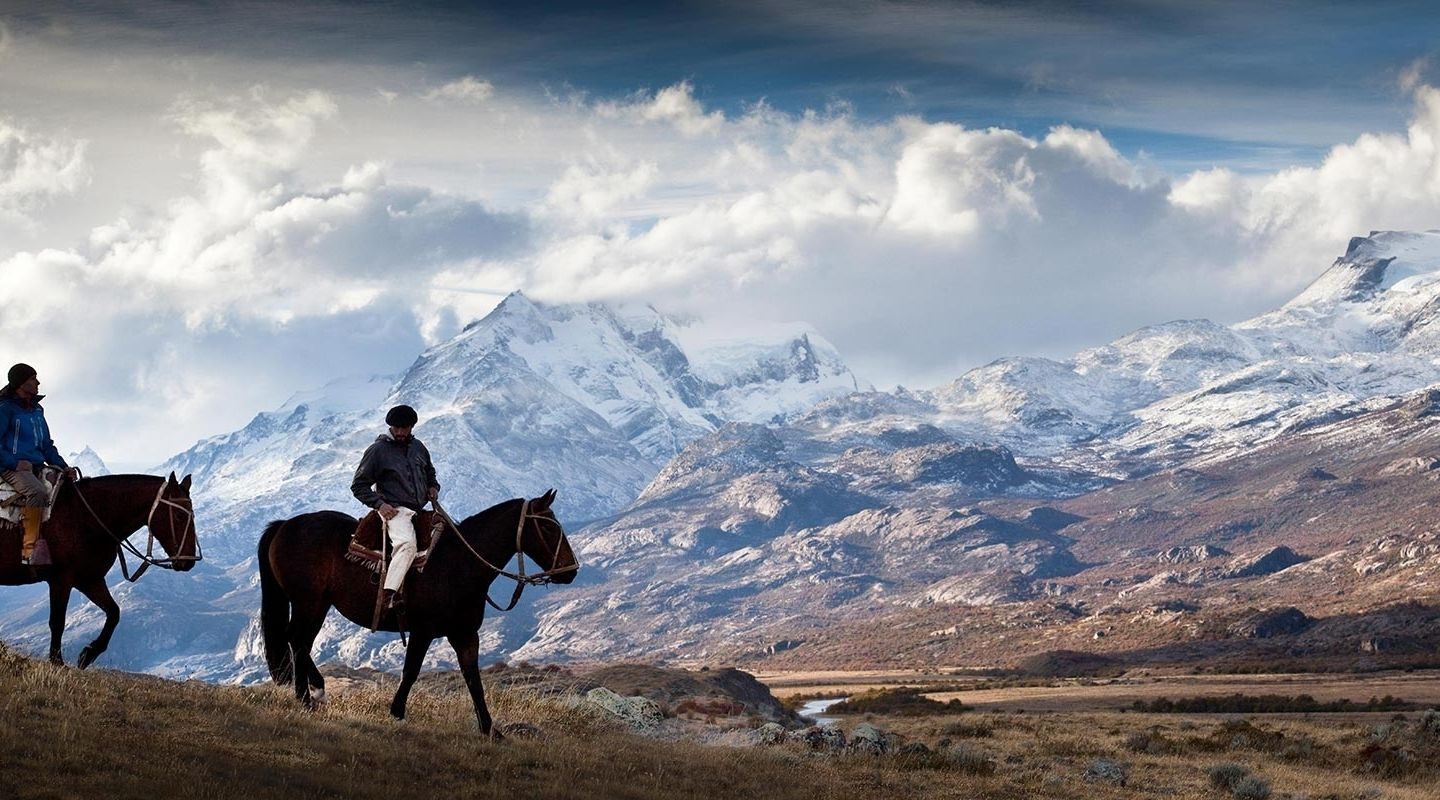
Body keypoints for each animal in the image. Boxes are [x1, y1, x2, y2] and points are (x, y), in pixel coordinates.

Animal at [0, 471, 203, 664]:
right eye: (179, 516)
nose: (189, 561)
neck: (84, 518)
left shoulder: (91, 580)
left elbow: (114, 613)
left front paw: (88, 654)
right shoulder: (60, 580)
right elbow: (57, 621)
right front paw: (57, 662)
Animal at [259, 486, 578, 736]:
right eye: (548, 527)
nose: (571, 570)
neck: (457, 563)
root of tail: (285, 525)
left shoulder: (465, 634)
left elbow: (473, 679)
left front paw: (490, 730)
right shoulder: (422, 631)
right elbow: (411, 670)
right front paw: (397, 711)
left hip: (317, 604)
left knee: (299, 641)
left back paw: (312, 694)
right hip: (309, 602)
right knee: (297, 640)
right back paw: (309, 695)